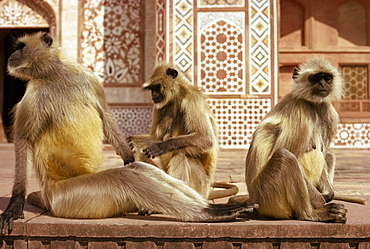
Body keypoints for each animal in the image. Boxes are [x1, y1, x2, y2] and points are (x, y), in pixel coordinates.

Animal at [0, 32, 258, 234]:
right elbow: (23, 139)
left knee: (140, 169)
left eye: (20, 47)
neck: (55, 74)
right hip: (69, 198)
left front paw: (132, 153)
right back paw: (210, 213)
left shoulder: (88, 78)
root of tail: (49, 197)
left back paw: (211, 208)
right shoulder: (33, 93)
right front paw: (15, 204)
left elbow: (106, 117)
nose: (11, 56)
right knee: (127, 177)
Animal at [244, 57, 348, 223]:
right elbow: (292, 152)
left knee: (328, 153)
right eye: (315, 78)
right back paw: (311, 214)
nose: (322, 85)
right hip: (269, 197)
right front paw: (321, 202)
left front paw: (328, 194)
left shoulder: (329, 113)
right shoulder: (299, 112)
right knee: (285, 156)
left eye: (327, 78)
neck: (312, 104)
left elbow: (325, 152)